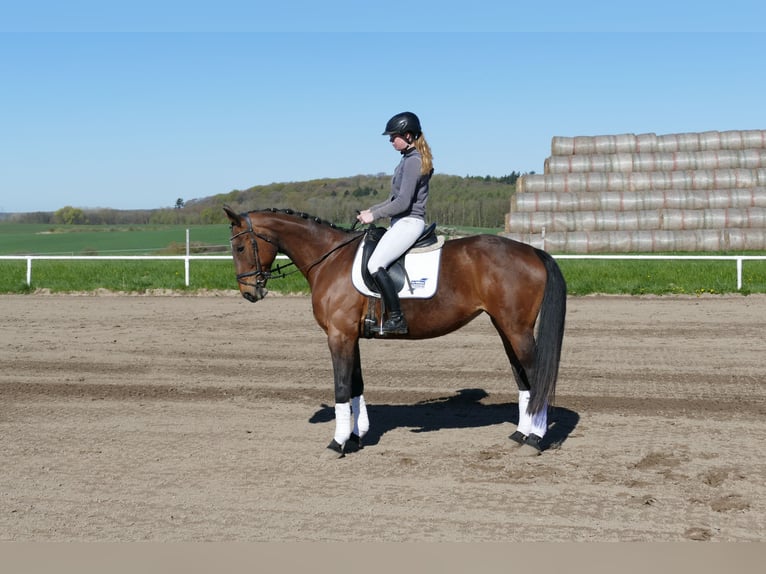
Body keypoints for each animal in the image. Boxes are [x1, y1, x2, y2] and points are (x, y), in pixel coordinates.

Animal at [224, 206, 566, 457]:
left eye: (239, 246)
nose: (250, 293)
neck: (329, 257)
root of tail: (533, 252)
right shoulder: (350, 336)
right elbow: (356, 385)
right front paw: (356, 437)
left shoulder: (339, 336)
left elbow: (341, 387)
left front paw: (337, 443)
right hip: (506, 327)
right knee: (524, 379)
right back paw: (520, 435)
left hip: (517, 330)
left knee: (536, 376)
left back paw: (535, 441)